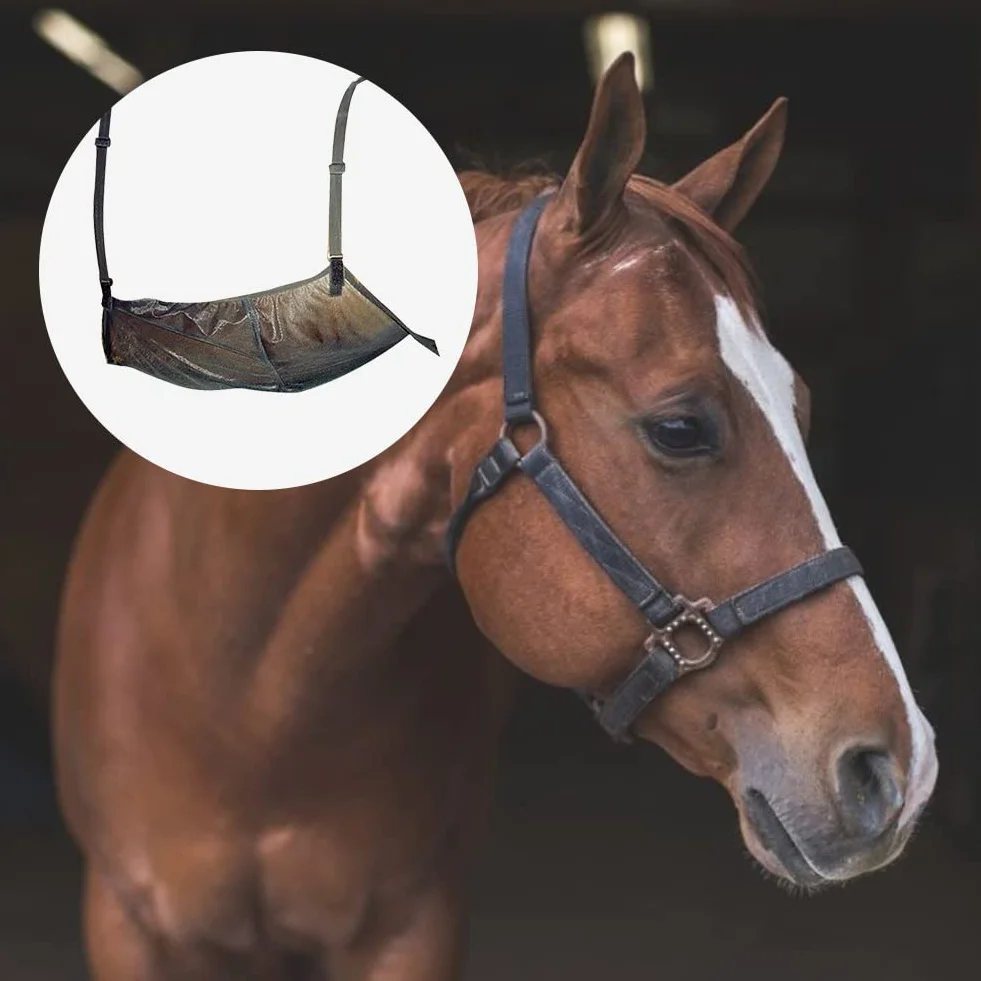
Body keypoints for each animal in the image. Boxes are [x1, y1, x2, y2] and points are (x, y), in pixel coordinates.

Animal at [53, 54, 937, 981]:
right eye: (679, 427)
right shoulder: (128, 925)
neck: (252, 705)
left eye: (800, 406)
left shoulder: (413, 925)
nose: (900, 769)